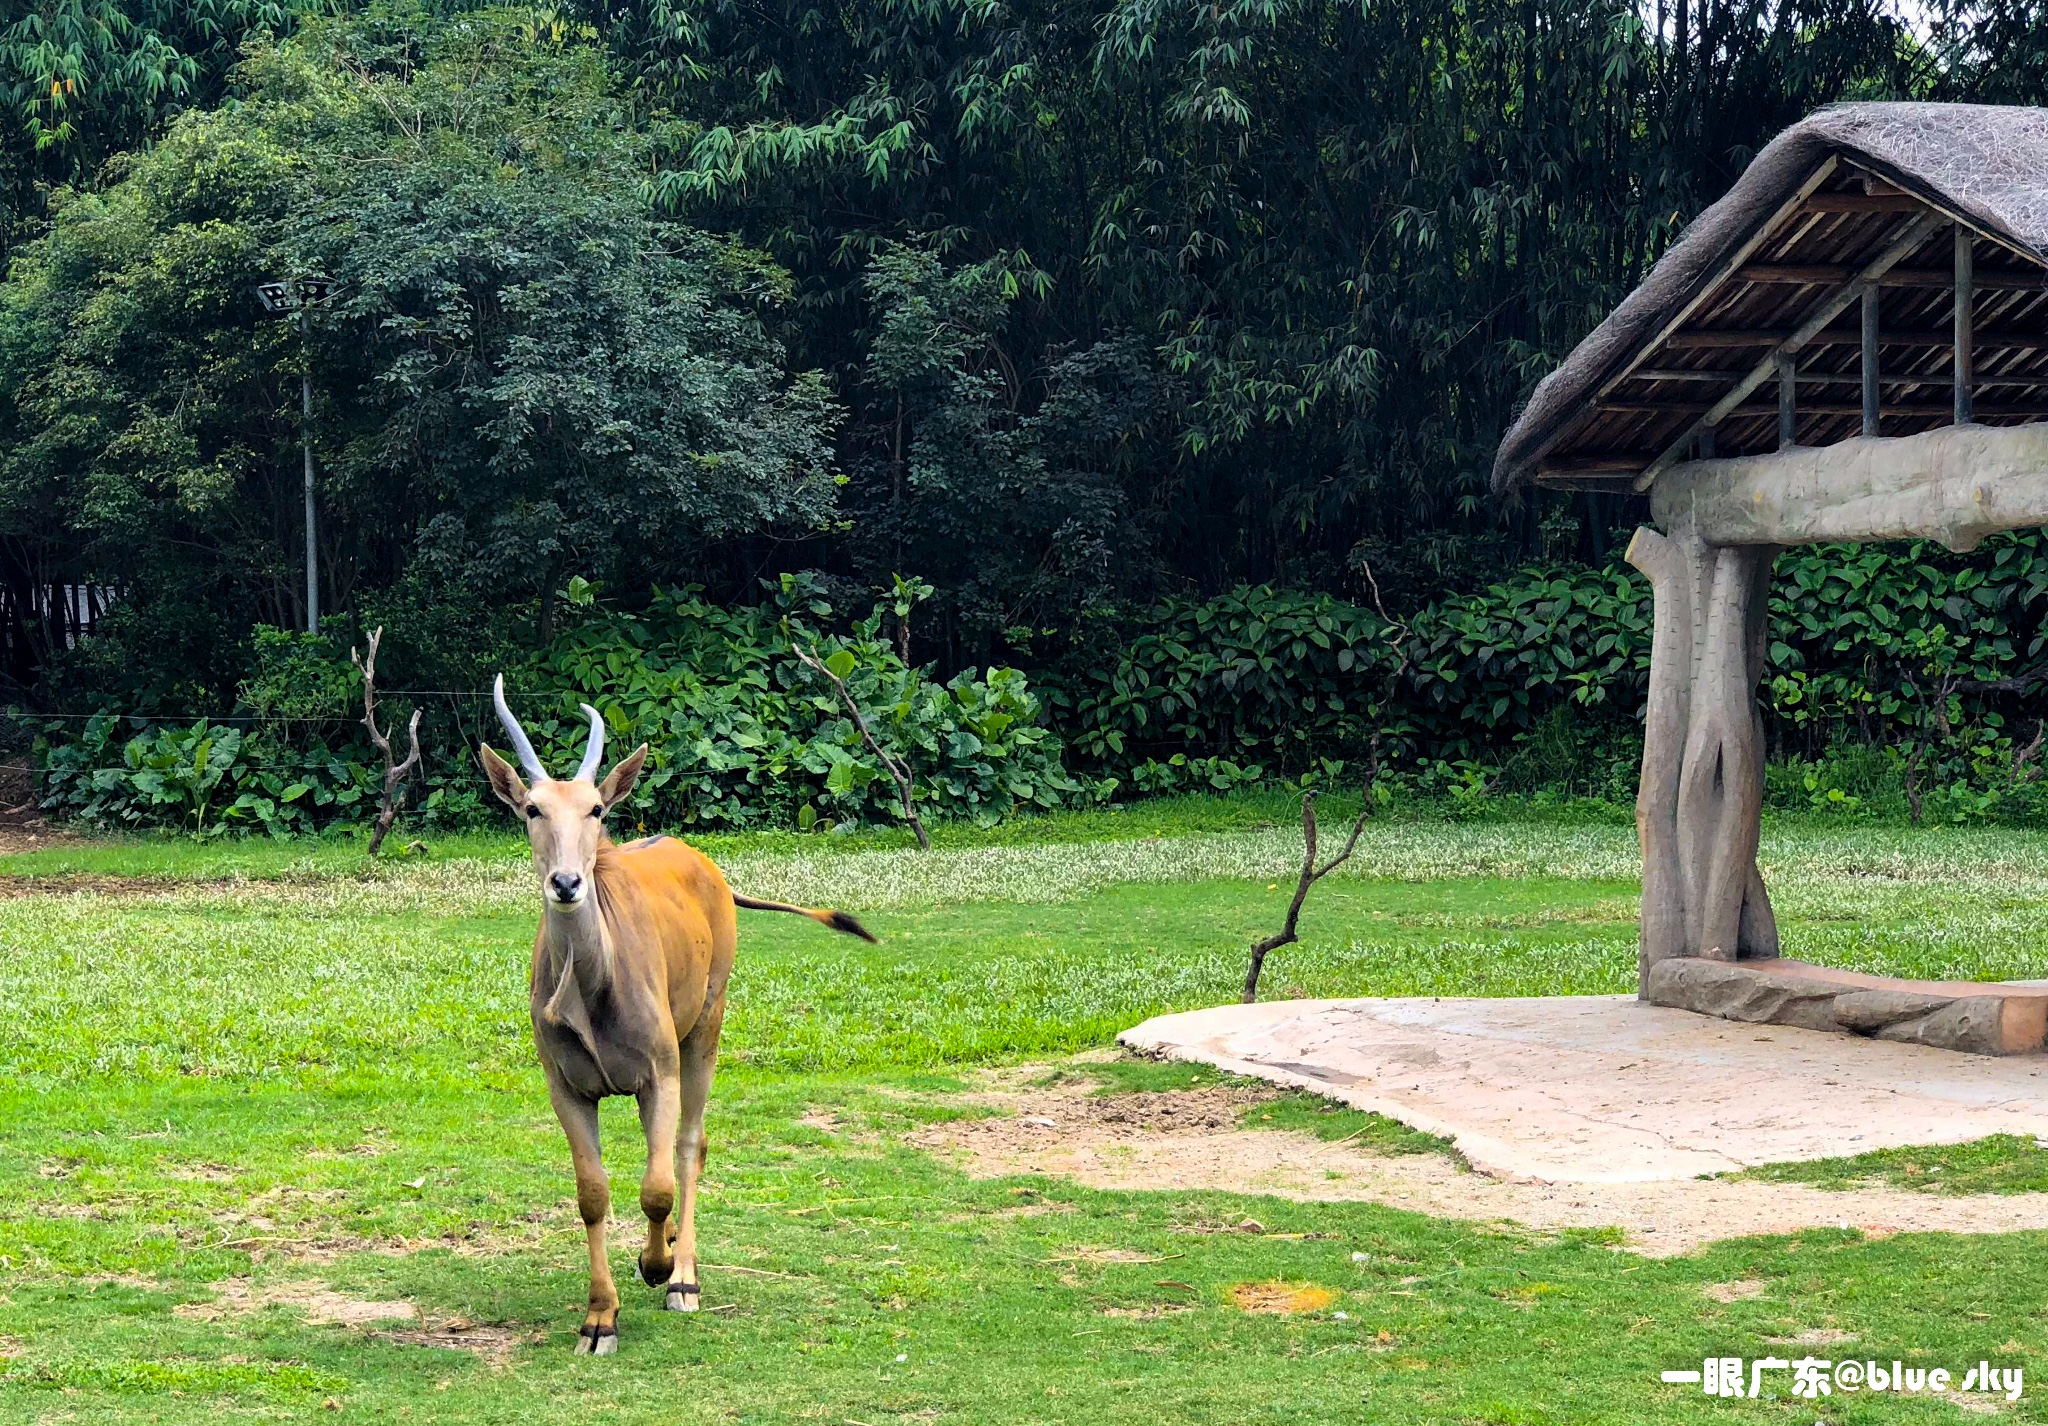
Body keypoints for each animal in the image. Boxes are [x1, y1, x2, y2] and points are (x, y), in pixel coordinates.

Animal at [479, 672, 872, 1352]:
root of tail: (712, 871)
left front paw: (657, 1265)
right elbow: (593, 1193)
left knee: (691, 1144)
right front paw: (599, 1318)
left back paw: (682, 1275)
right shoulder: (567, 1088)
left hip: (705, 1028)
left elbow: (658, 1187)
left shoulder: (657, 1073)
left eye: (596, 809)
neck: (591, 990)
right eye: (532, 810)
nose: (567, 883)